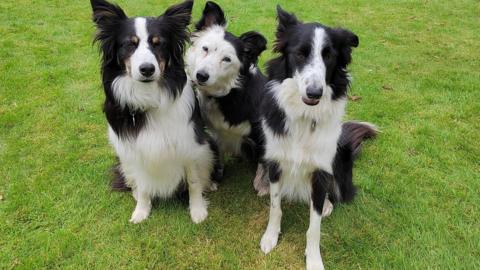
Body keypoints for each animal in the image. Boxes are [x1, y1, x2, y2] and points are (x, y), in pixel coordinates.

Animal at [90, 0, 221, 224]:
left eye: (158, 43)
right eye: (130, 44)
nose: (147, 69)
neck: (149, 96)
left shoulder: (190, 143)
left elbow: (194, 181)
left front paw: (197, 211)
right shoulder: (135, 149)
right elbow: (143, 185)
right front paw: (142, 211)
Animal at [187, 1, 270, 194]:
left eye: (226, 59)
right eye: (205, 49)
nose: (201, 76)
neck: (228, 95)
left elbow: (265, 162)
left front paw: (263, 185)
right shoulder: (215, 132)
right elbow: (217, 154)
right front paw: (213, 177)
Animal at [258, 6, 378, 270]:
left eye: (329, 56)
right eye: (300, 54)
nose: (315, 93)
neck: (305, 115)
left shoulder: (320, 172)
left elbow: (314, 227)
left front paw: (313, 259)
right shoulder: (276, 161)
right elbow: (275, 207)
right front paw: (271, 237)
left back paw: (328, 205)